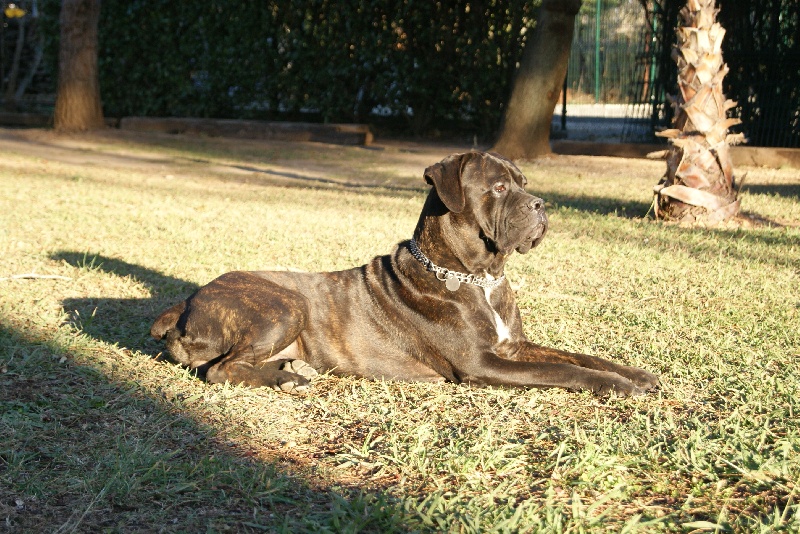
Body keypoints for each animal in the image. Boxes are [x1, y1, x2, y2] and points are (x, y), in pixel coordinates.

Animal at [151, 152, 659, 395]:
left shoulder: (515, 346)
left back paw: (289, 369)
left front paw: (634, 373)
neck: (479, 277)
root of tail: (188, 300)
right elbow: (564, 369)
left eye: (524, 184)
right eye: (498, 187)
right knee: (220, 370)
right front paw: (619, 387)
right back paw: (285, 380)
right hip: (284, 305)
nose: (540, 205)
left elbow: (579, 355)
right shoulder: (484, 365)